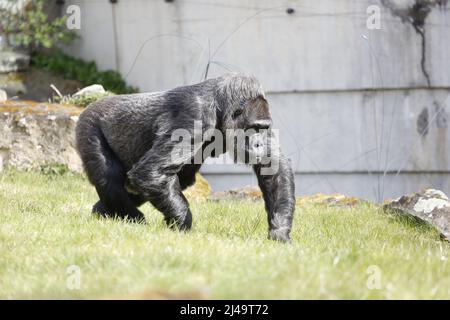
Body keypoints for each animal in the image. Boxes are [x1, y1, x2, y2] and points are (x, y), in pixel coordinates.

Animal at [75, 73, 296, 242]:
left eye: (264, 128)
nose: (259, 143)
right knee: (111, 178)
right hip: (89, 125)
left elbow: (274, 168)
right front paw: (182, 223)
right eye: (254, 128)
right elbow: (151, 172)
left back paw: (103, 212)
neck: (220, 107)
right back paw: (130, 217)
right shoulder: (195, 116)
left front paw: (279, 232)